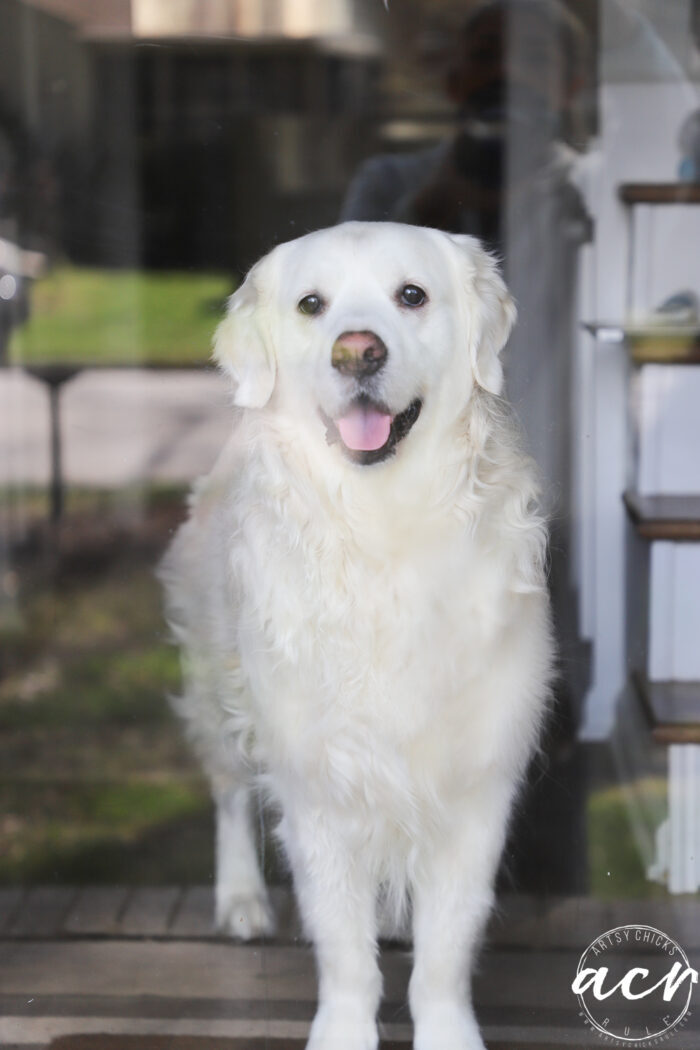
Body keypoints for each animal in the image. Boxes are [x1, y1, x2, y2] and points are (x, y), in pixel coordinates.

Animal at [161, 223, 554, 1050]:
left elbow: (446, 949)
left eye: (412, 294)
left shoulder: (478, 784)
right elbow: (344, 949)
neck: (384, 530)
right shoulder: (317, 786)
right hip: (216, 685)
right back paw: (240, 899)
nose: (357, 352)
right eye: (312, 305)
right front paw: (343, 1029)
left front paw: (448, 1032)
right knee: (228, 794)